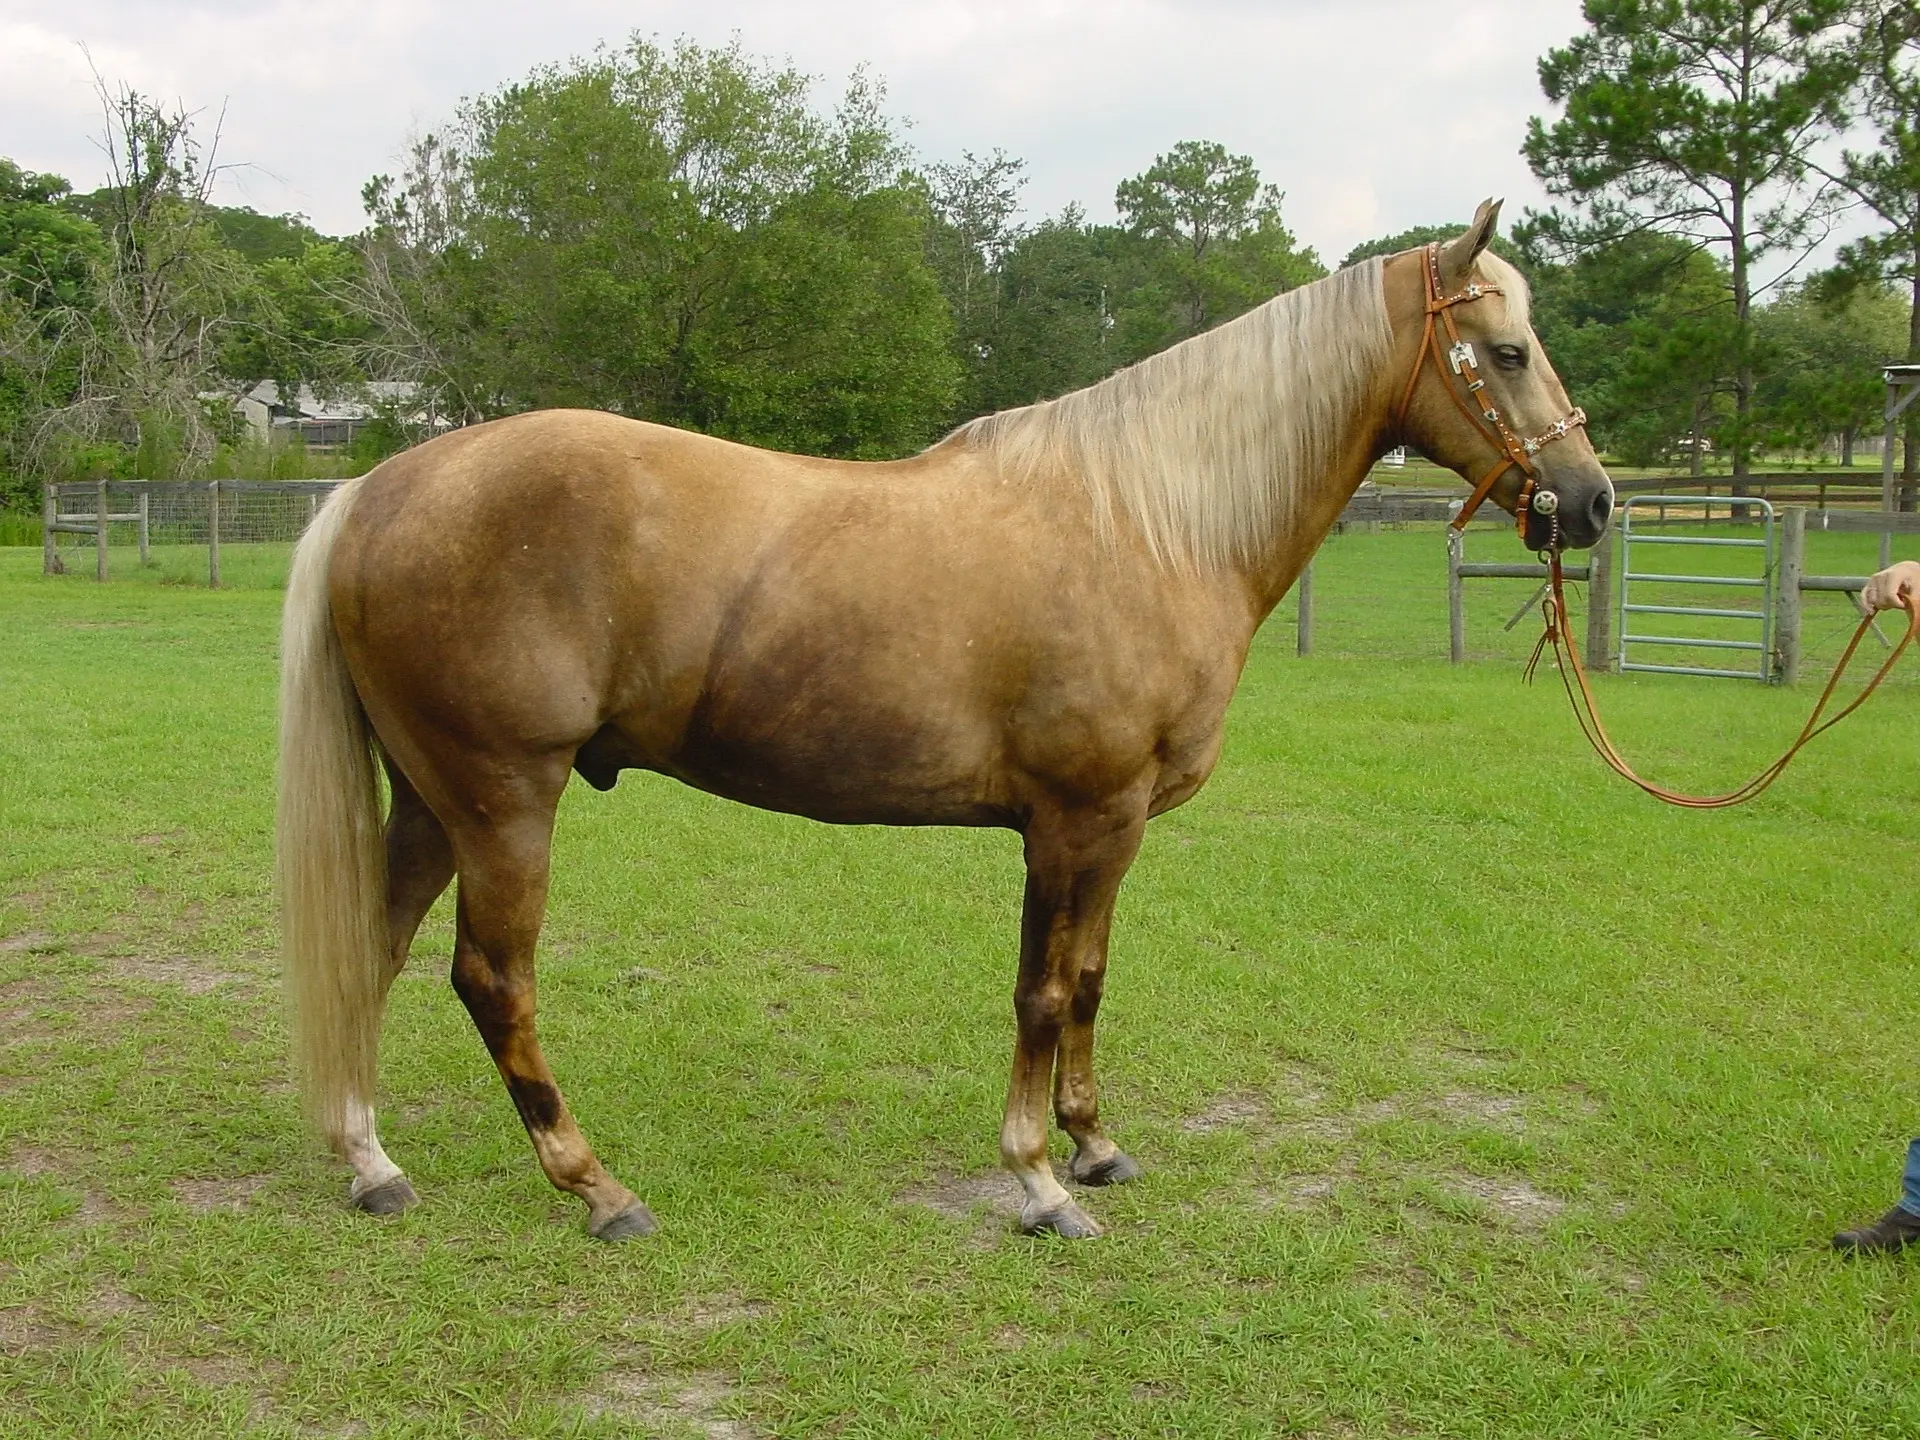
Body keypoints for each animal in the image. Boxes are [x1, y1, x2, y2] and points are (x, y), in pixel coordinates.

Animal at [278, 200, 1612, 1244]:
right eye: (1504, 351)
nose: (1591, 502)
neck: (1148, 525)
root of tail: (376, 489)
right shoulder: (1075, 822)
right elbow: (1040, 994)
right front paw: (1038, 1183)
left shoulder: (1114, 829)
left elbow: (1088, 980)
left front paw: (1094, 1147)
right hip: (505, 799)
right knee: (491, 981)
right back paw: (597, 1189)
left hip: (432, 800)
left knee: (375, 949)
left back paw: (371, 1163)